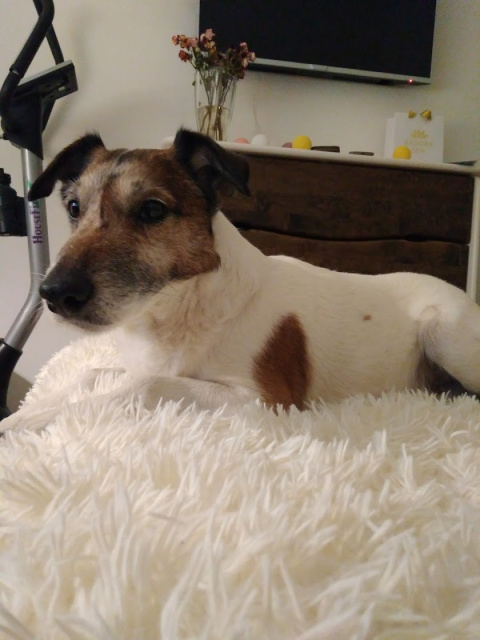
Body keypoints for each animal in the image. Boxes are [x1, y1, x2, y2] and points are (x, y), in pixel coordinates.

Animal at [3, 128, 480, 431]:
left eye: (152, 210)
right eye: (74, 208)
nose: (53, 294)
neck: (180, 307)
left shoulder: (267, 401)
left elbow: (143, 385)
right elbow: (89, 375)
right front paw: (24, 415)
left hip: (444, 332)